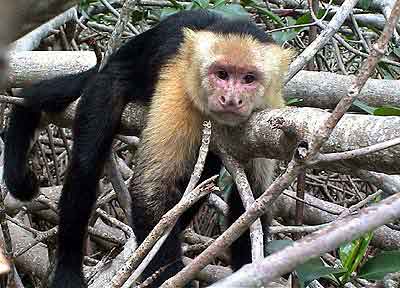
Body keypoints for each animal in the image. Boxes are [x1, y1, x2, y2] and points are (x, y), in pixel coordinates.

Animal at [2, 9, 290, 288]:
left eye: (249, 78)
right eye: (221, 74)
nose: (231, 99)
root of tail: (110, 59)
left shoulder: (269, 108)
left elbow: (253, 199)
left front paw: (249, 272)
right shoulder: (178, 89)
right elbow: (149, 191)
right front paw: (170, 278)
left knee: (203, 173)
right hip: (104, 86)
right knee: (85, 167)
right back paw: (68, 270)